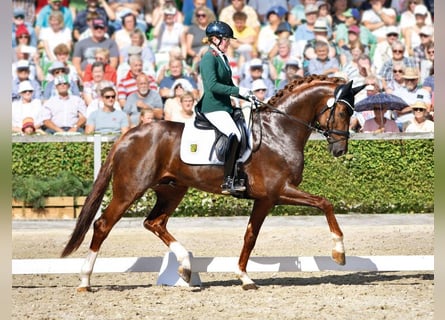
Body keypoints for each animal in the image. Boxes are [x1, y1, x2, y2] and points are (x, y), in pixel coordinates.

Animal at [59, 75, 364, 290]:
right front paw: (339, 253)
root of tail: (128, 135)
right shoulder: (278, 192)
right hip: (129, 190)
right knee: (103, 225)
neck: (279, 132)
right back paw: (85, 281)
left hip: (172, 190)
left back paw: (185, 266)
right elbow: (325, 203)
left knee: (154, 222)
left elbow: (250, 236)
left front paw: (244, 277)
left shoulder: (265, 199)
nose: (340, 150)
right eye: (344, 112)